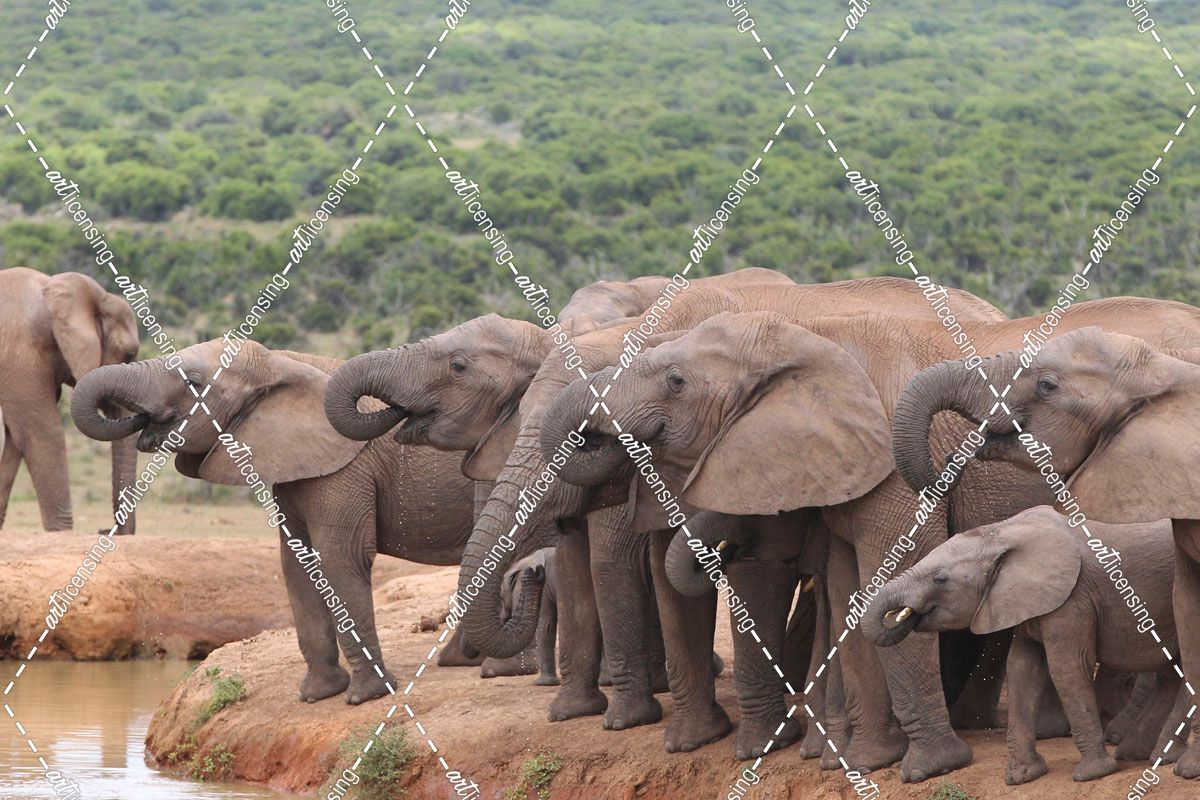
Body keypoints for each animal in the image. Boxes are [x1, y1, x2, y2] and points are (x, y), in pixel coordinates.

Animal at [0, 267, 140, 534]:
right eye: (128, 356)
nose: (103, 530)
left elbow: (15, 438)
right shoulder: (21, 353)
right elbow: (43, 432)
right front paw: (60, 533)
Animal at [70, 338, 482, 705]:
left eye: (195, 383)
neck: (279, 361)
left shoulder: (347, 468)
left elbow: (340, 558)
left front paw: (366, 696)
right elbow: (298, 562)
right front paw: (317, 695)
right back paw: (461, 659)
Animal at [861, 506, 1188, 783]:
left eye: (940, 579)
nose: (904, 614)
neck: (1003, 533)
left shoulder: (1073, 599)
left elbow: (1067, 668)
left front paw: (1093, 774)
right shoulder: (1027, 599)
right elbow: (1022, 669)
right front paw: (1022, 776)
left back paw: (1162, 758)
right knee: (1171, 676)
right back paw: (1139, 753)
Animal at [891, 324, 1200, 778]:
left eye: (1046, 385)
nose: (946, 462)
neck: (1167, 372)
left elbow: (1068, 666)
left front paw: (1092, 774)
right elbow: (1188, 607)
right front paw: (1022, 777)